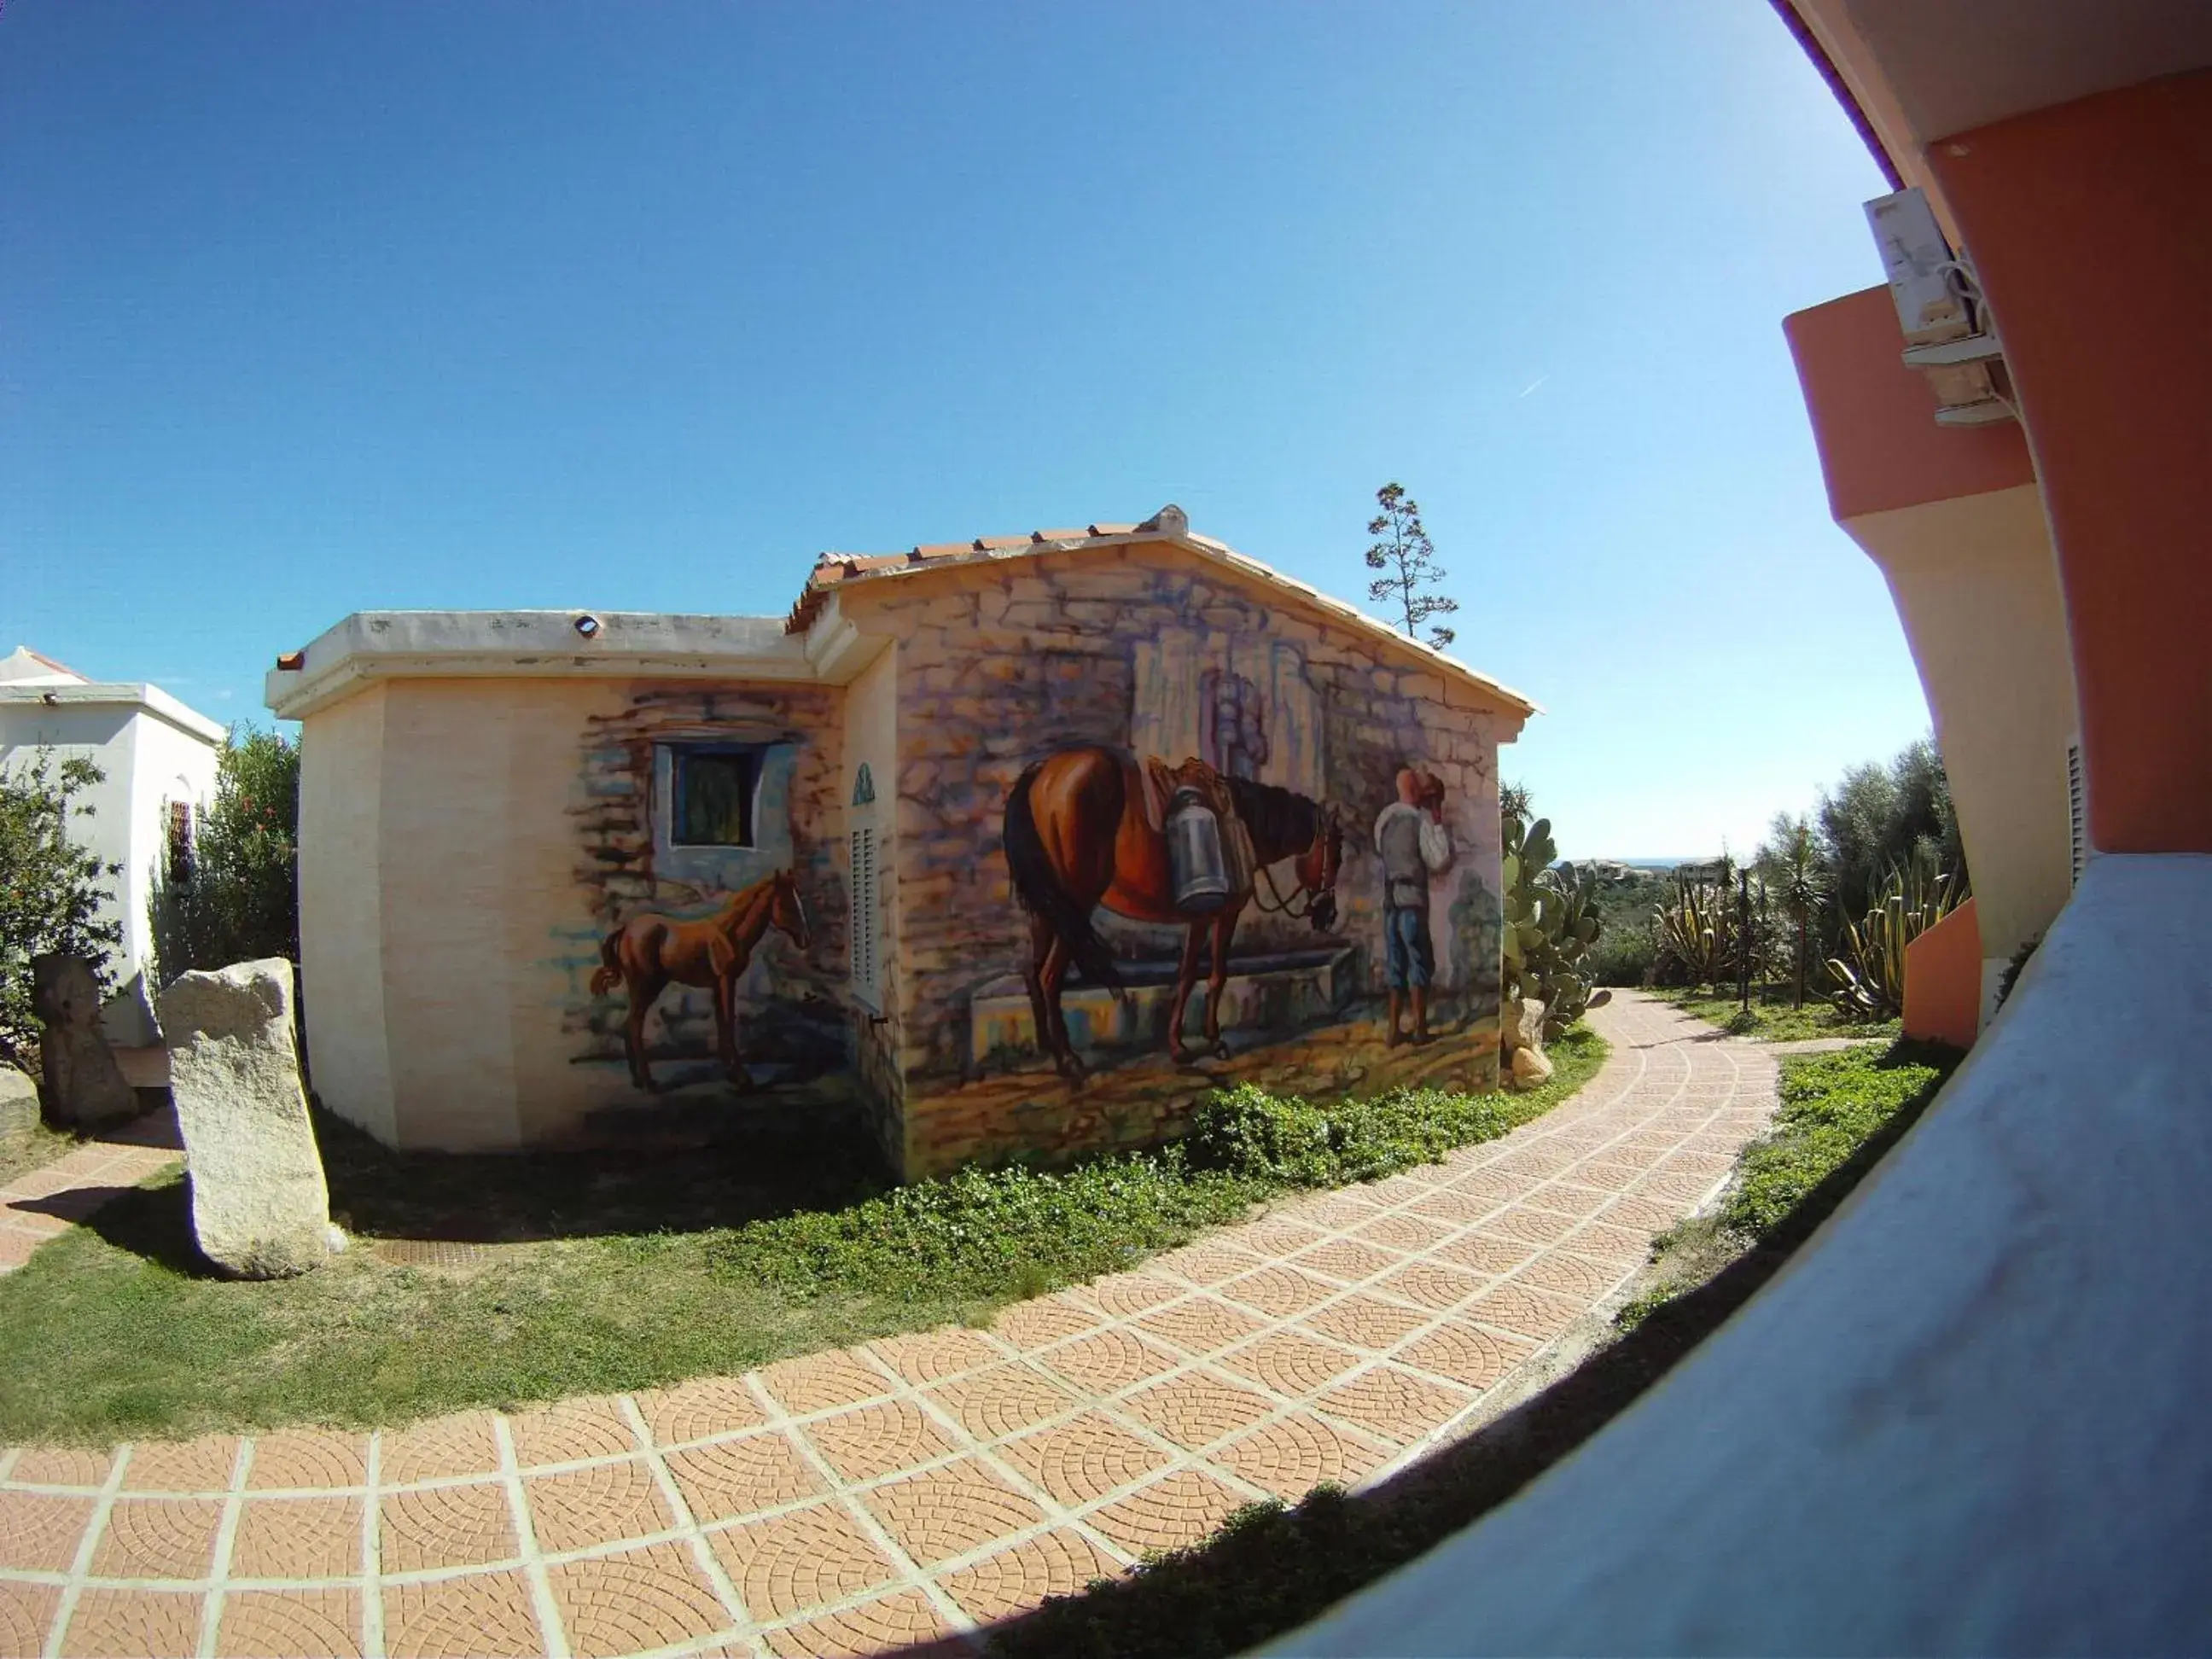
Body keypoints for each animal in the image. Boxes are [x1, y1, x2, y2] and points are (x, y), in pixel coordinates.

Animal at [597, 871, 813, 1092]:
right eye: (787, 904)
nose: (806, 939)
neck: (729, 935)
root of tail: (625, 929)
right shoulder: (726, 981)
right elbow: (728, 1022)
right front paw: (742, 1078)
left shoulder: (718, 985)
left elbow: (721, 1022)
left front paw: (731, 1074)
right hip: (646, 987)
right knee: (634, 1025)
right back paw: (649, 1082)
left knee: (628, 1024)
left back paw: (638, 1080)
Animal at [1008, 748, 1344, 1084]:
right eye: (1337, 853)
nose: (1328, 914)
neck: (1245, 825)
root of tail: (1042, 773)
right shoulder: (1221, 915)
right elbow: (1209, 975)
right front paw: (1206, 1042)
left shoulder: (1203, 916)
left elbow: (1189, 975)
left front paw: (1183, 1043)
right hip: (1074, 907)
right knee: (1049, 977)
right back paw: (1068, 1061)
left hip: (1048, 908)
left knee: (1031, 972)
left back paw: (1046, 1047)